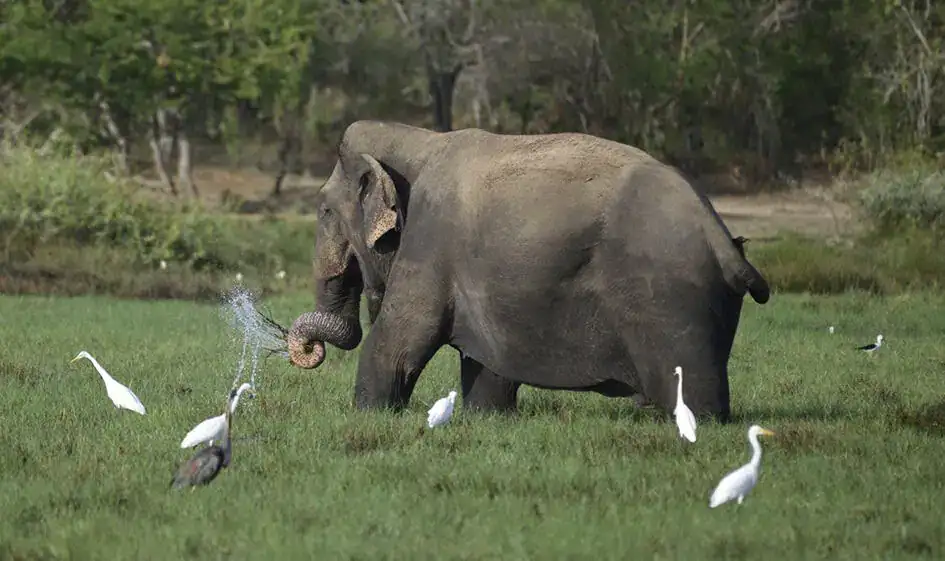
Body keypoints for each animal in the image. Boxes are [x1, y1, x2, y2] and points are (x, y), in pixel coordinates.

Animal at [286, 120, 770, 421]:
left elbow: (399, 339)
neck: (419, 141)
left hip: (672, 302)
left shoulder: (429, 240)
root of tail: (720, 236)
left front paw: (368, 415)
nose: (309, 347)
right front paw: (487, 418)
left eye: (324, 210)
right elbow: (487, 365)